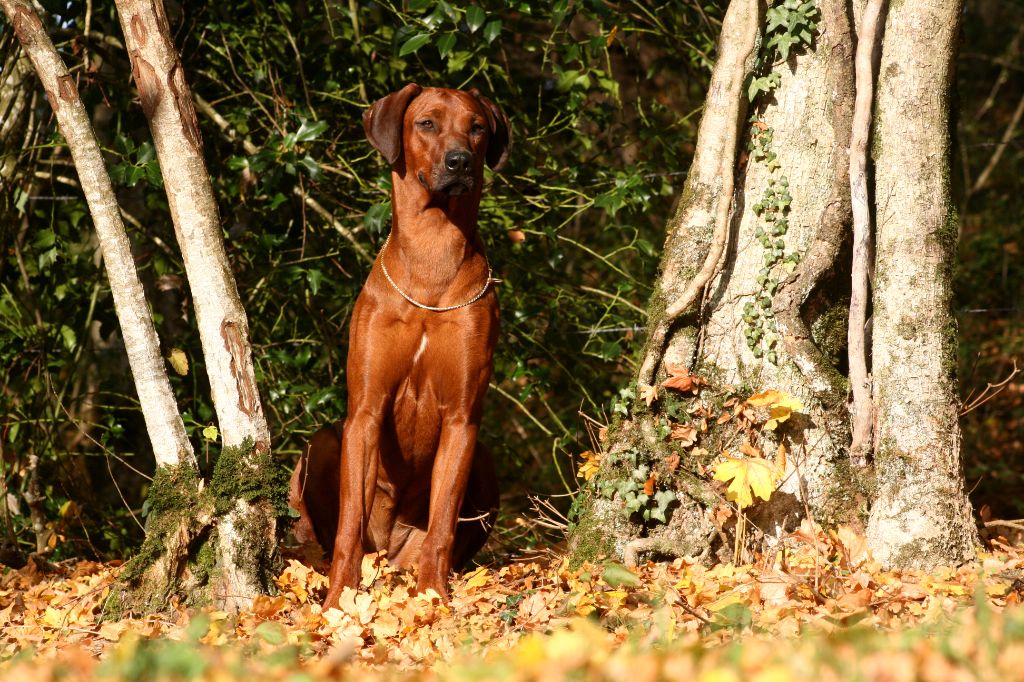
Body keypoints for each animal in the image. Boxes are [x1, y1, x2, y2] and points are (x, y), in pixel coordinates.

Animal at [288, 82, 507, 602]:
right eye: (426, 123)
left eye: (478, 127)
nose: (460, 162)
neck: (431, 260)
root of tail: (389, 553)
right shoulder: (365, 409)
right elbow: (349, 522)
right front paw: (338, 599)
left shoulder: (463, 418)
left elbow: (444, 520)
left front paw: (434, 597)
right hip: (323, 443)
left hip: (483, 462)